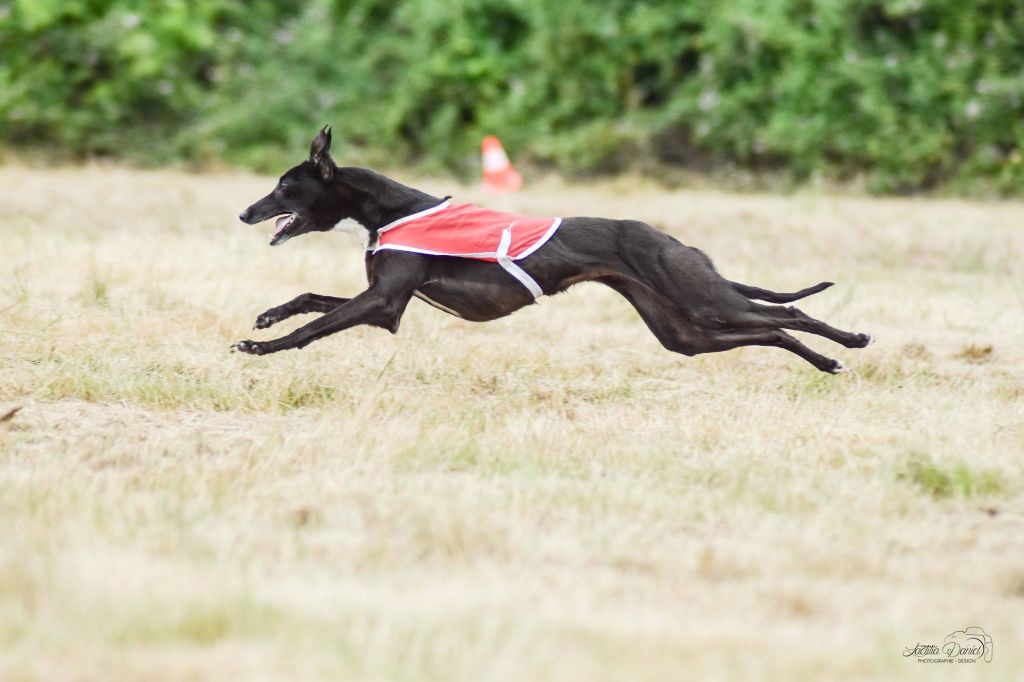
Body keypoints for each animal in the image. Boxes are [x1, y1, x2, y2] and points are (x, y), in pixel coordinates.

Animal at [233, 126, 872, 373]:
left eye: (284, 186)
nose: (244, 212)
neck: (386, 210)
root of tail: (674, 241)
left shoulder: (384, 303)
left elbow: (316, 325)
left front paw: (262, 348)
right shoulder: (385, 301)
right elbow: (308, 299)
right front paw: (263, 319)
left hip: (701, 298)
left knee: (788, 313)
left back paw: (851, 340)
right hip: (684, 332)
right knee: (771, 329)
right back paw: (827, 362)